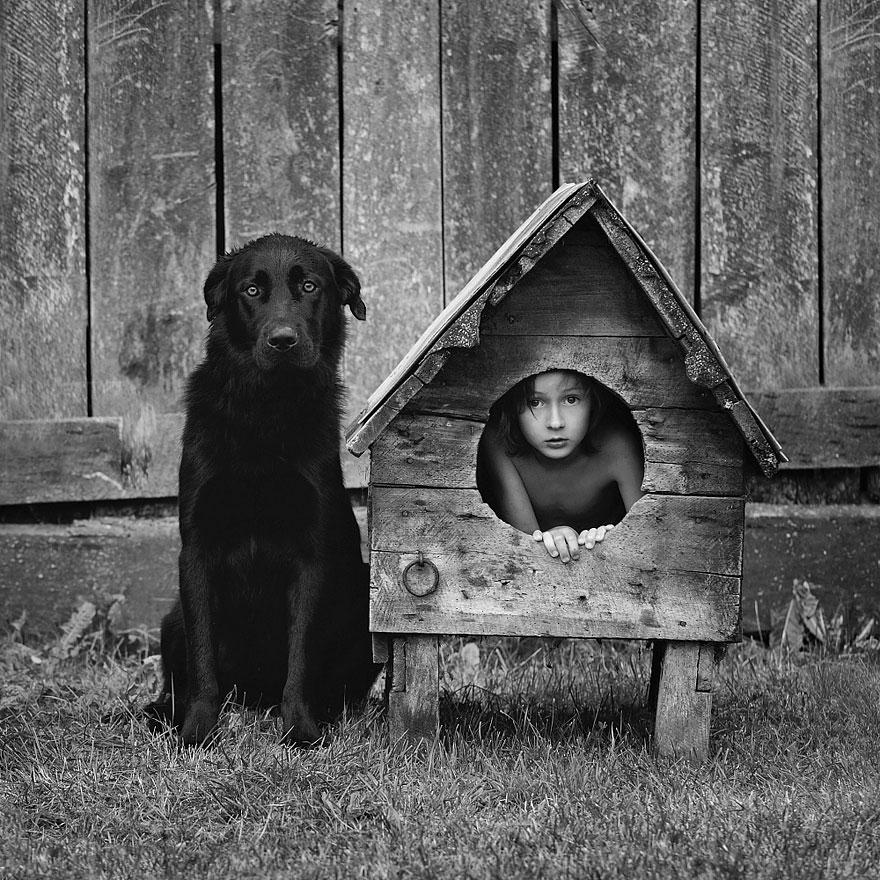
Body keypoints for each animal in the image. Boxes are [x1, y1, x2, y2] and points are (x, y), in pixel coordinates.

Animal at [147, 232, 378, 744]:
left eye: (310, 286)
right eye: (251, 291)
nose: (283, 341)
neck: (266, 411)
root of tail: (253, 698)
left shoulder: (311, 556)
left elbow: (301, 654)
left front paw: (301, 729)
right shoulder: (196, 551)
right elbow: (202, 657)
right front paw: (197, 730)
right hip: (171, 620)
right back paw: (162, 713)